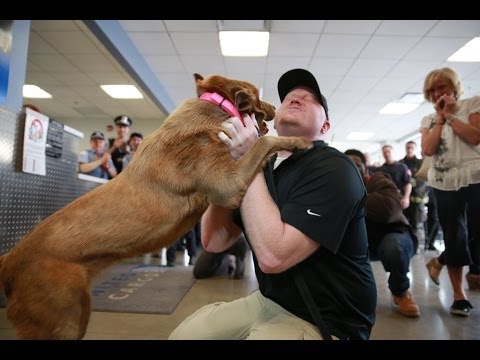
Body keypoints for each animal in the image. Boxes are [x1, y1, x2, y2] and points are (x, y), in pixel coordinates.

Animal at [0, 72, 312, 338]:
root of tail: (10, 260)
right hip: (64, 319)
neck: (215, 108)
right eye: (259, 96)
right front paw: (297, 141)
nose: (276, 106)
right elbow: (264, 142)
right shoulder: (228, 183)